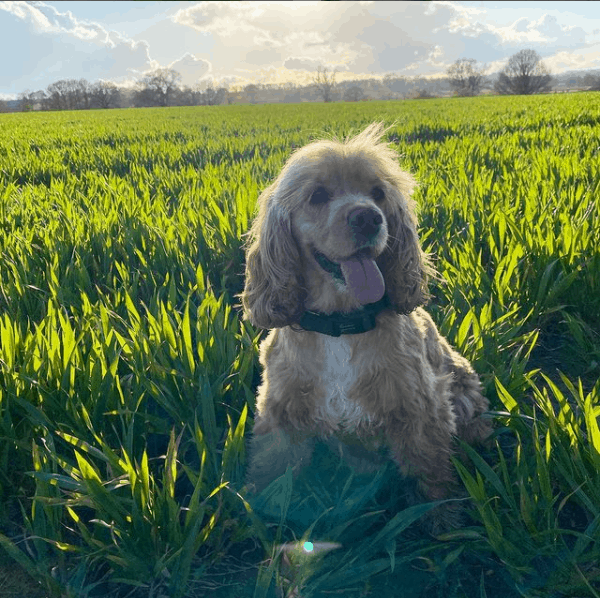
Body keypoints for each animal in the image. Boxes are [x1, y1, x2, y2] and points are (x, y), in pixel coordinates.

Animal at [241, 124, 490, 532]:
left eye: (378, 194)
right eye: (318, 195)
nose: (368, 218)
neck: (341, 327)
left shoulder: (419, 410)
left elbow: (430, 473)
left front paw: (442, 523)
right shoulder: (282, 412)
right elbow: (273, 471)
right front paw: (263, 518)